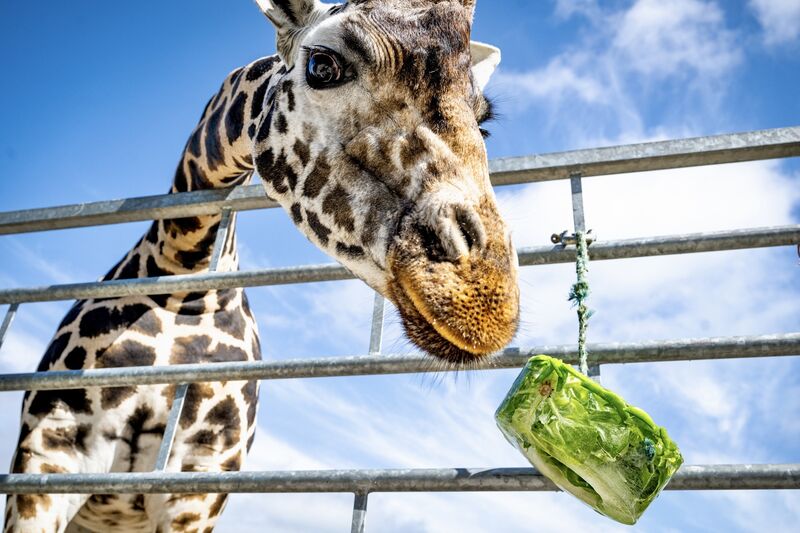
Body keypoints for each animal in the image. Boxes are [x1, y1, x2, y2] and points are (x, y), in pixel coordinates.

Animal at [5, 0, 519, 531]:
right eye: (323, 66)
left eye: (484, 125)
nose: (484, 298)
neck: (184, 272)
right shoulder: (49, 452)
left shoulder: (199, 480)